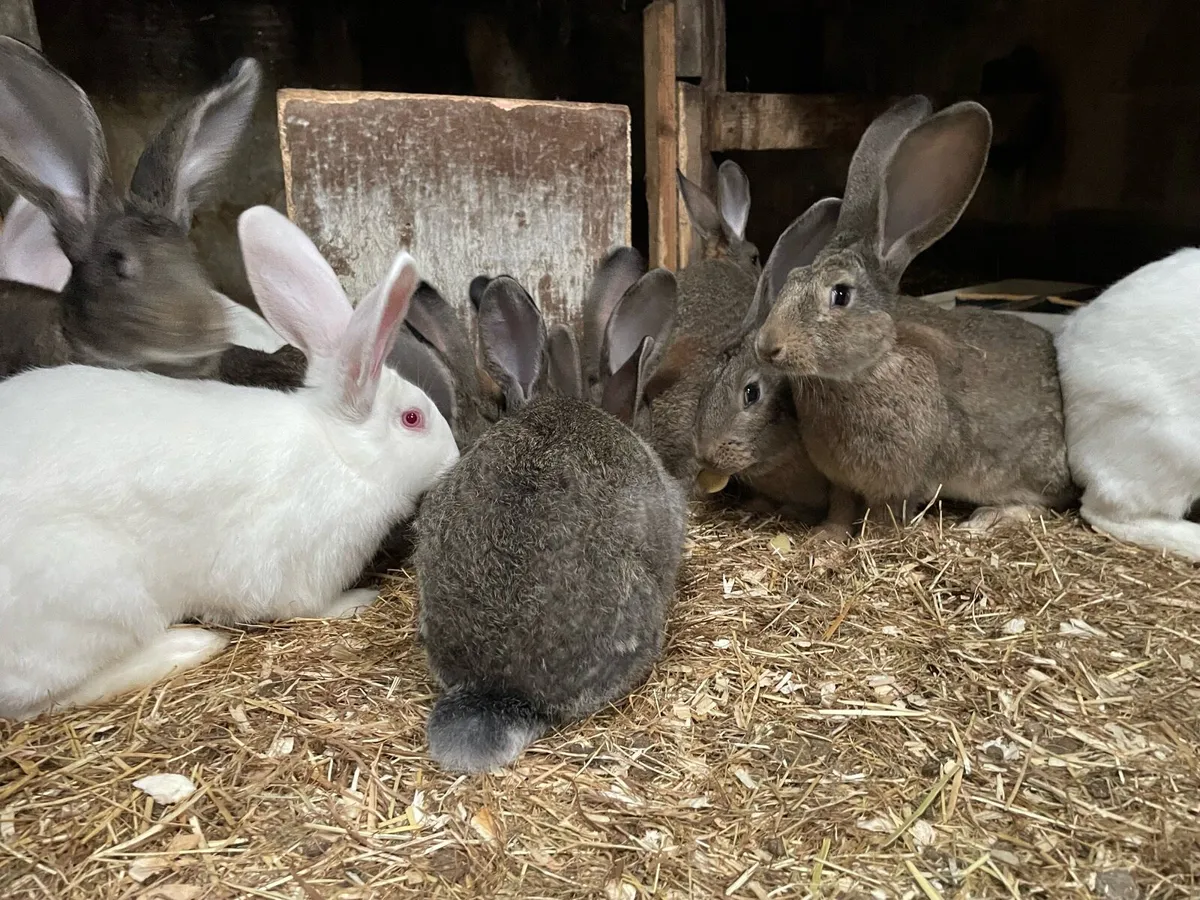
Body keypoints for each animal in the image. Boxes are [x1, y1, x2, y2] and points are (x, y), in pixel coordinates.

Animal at [0, 205, 459, 720]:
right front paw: (359, 600)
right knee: (46, 698)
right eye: (413, 418)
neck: (340, 453)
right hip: (92, 601)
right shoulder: (299, 570)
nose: (455, 456)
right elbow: (309, 605)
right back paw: (188, 646)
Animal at [753, 95, 1078, 537]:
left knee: (1043, 503)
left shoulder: (899, 482)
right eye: (792, 279)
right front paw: (827, 538)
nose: (768, 346)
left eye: (840, 295)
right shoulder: (841, 481)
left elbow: (886, 511)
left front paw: (874, 537)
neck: (868, 365)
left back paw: (984, 520)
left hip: (1027, 471)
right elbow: (840, 508)